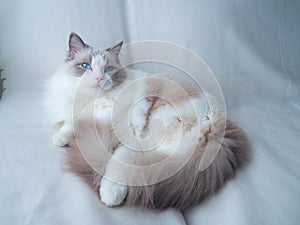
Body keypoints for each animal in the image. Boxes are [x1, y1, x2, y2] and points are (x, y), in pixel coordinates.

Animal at [44, 32, 251, 210]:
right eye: (86, 66)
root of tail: (220, 129)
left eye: (108, 69)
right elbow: (69, 126)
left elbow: (116, 166)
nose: (99, 78)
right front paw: (60, 138)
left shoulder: (129, 140)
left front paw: (110, 194)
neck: (93, 103)